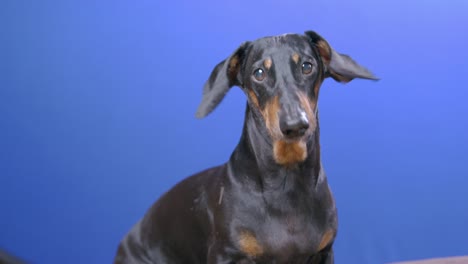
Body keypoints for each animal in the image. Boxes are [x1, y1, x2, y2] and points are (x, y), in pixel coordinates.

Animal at [115, 29, 378, 262]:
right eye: (259, 72)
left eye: (307, 66)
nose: (295, 125)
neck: (287, 184)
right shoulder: (225, 255)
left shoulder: (324, 252)